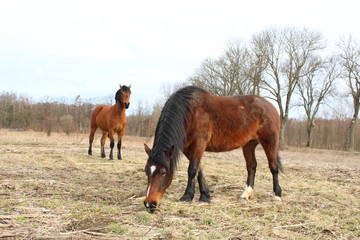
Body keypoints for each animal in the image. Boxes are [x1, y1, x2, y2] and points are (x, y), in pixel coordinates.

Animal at [143, 86, 282, 212]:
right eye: (146, 171)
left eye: (163, 172)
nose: (150, 204)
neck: (190, 112)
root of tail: (270, 105)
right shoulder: (188, 148)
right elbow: (199, 171)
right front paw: (205, 196)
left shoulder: (199, 144)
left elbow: (192, 170)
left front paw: (187, 196)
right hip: (249, 144)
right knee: (251, 166)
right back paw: (245, 194)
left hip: (270, 140)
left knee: (273, 166)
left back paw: (277, 195)